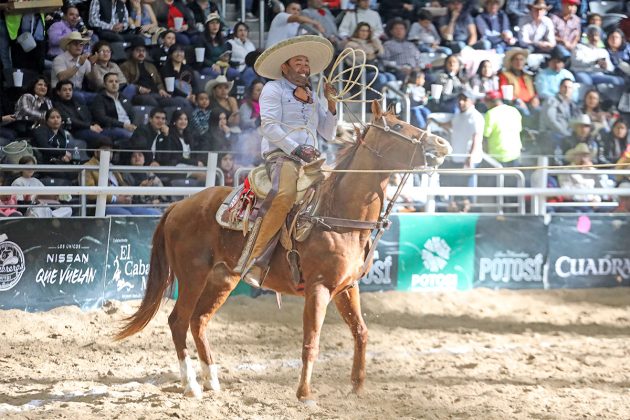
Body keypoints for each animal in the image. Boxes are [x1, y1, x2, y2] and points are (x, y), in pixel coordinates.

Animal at [116, 101, 452, 404]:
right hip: (192, 276)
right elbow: (311, 342)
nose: (441, 143)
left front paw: (356, 389)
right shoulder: (319, 288)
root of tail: (178, 206)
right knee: (178, 321)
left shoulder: (347, 287)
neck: (338, 215)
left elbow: (361, 332)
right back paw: (191, 386)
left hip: (223, 279)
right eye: (398, 127)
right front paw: (305, 395)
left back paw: (212, 381)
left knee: (199, 321)